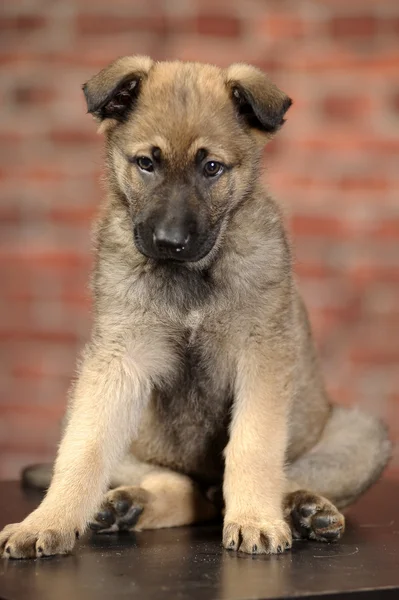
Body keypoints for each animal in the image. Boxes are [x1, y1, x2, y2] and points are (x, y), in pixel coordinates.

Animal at [0, 56, 392, 556]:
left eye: (211, 167)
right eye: (146, 163)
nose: (169, 242)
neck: (191, 278)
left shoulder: (261, 356)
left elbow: (253, 446)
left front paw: (255, 518)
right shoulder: (117, 359)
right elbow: (84, 450)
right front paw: (47, 520)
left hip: (362, 435)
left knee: (271, 481)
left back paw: (304, 509)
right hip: (105, 425)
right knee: (180, 488)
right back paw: (129, 505)